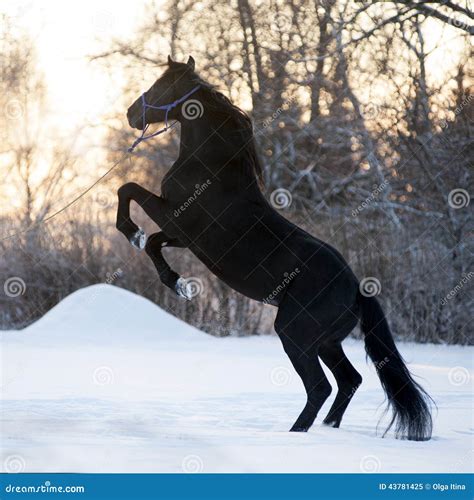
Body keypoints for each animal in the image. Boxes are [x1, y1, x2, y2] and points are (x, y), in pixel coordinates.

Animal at [116, 55, 432, 442]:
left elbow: (128, 190)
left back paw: (296, 432)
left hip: (295, 334)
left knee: (321, 387)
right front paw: (176, 282)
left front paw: (133, 234)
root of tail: (358, 290)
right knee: (349, 380)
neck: (212, 171)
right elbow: (154, 242)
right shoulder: (183, 237)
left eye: (162, 84)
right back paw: (327, 428)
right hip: (327, 343)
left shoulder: (174, 218)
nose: (132, 113)